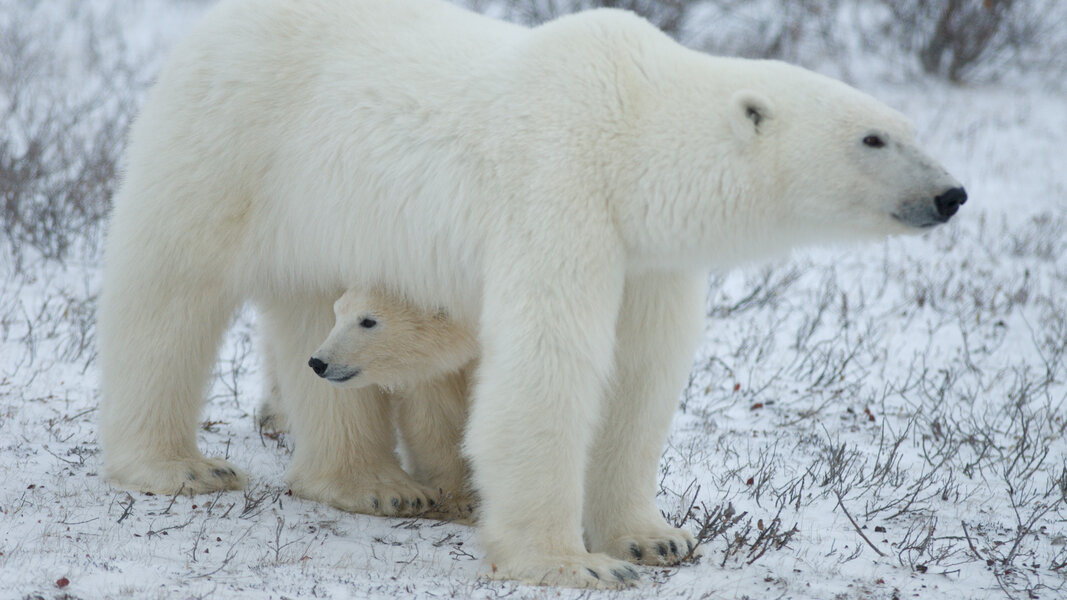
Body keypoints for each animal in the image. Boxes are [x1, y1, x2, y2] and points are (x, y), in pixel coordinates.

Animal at [100, 0, 968, 589]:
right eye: (872, 138)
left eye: (907, 127)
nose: (951, 193)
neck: (629, 130)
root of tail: (211, 26)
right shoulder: (558, 191)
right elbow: (548, 367)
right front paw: (570, 562)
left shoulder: (646, 259)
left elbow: (639, 378)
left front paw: (654, 538)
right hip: (231, 144)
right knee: (169, 295)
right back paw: (179, 467)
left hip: (318, 219)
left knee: (309, 317)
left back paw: (373, 483)